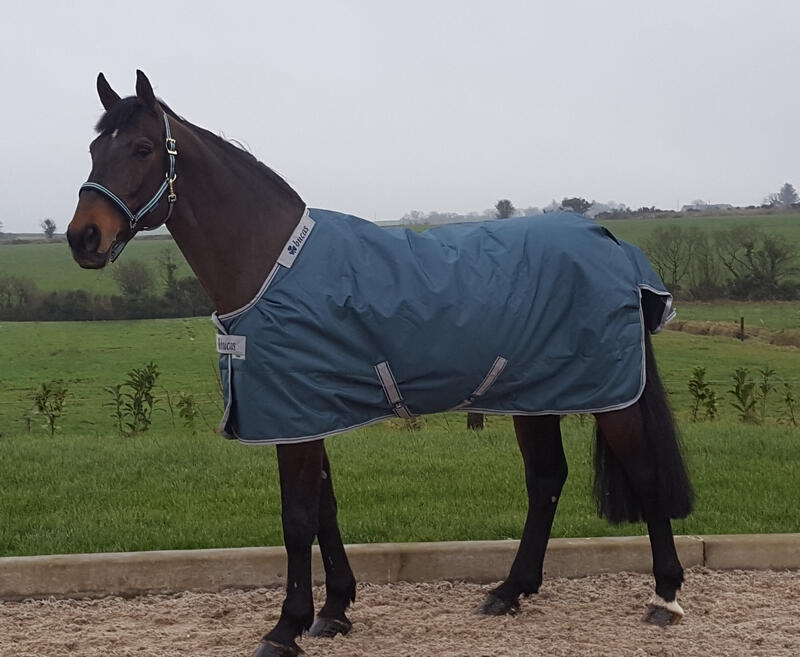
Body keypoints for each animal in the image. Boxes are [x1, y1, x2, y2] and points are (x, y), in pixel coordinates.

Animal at [67, 71, 694, 657]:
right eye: (95, 149)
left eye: (142, 148)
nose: (83, 238)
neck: (273, 263)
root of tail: (608, 239)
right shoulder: (308, 413)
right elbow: (325, 509)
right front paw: (335, 610)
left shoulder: (294, 416)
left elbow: (297, 519)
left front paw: (286, 627)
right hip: (535, 396)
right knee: (545, 479)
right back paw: (509, 592)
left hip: (610, 397)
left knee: (643, 474)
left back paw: (665, 597)